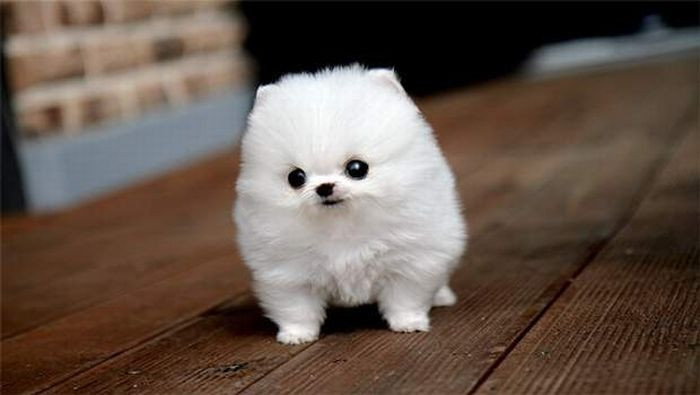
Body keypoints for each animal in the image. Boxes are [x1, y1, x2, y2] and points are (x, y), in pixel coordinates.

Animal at [232, 64, 468, 344]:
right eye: (296, 178)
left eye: (357, 168)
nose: (324, 187)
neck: (342, 226)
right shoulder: (288, 272)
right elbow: (297, 308)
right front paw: (296, 335)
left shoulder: (409, 261)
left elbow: (405, 298)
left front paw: (408, 323)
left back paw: (442, 296)